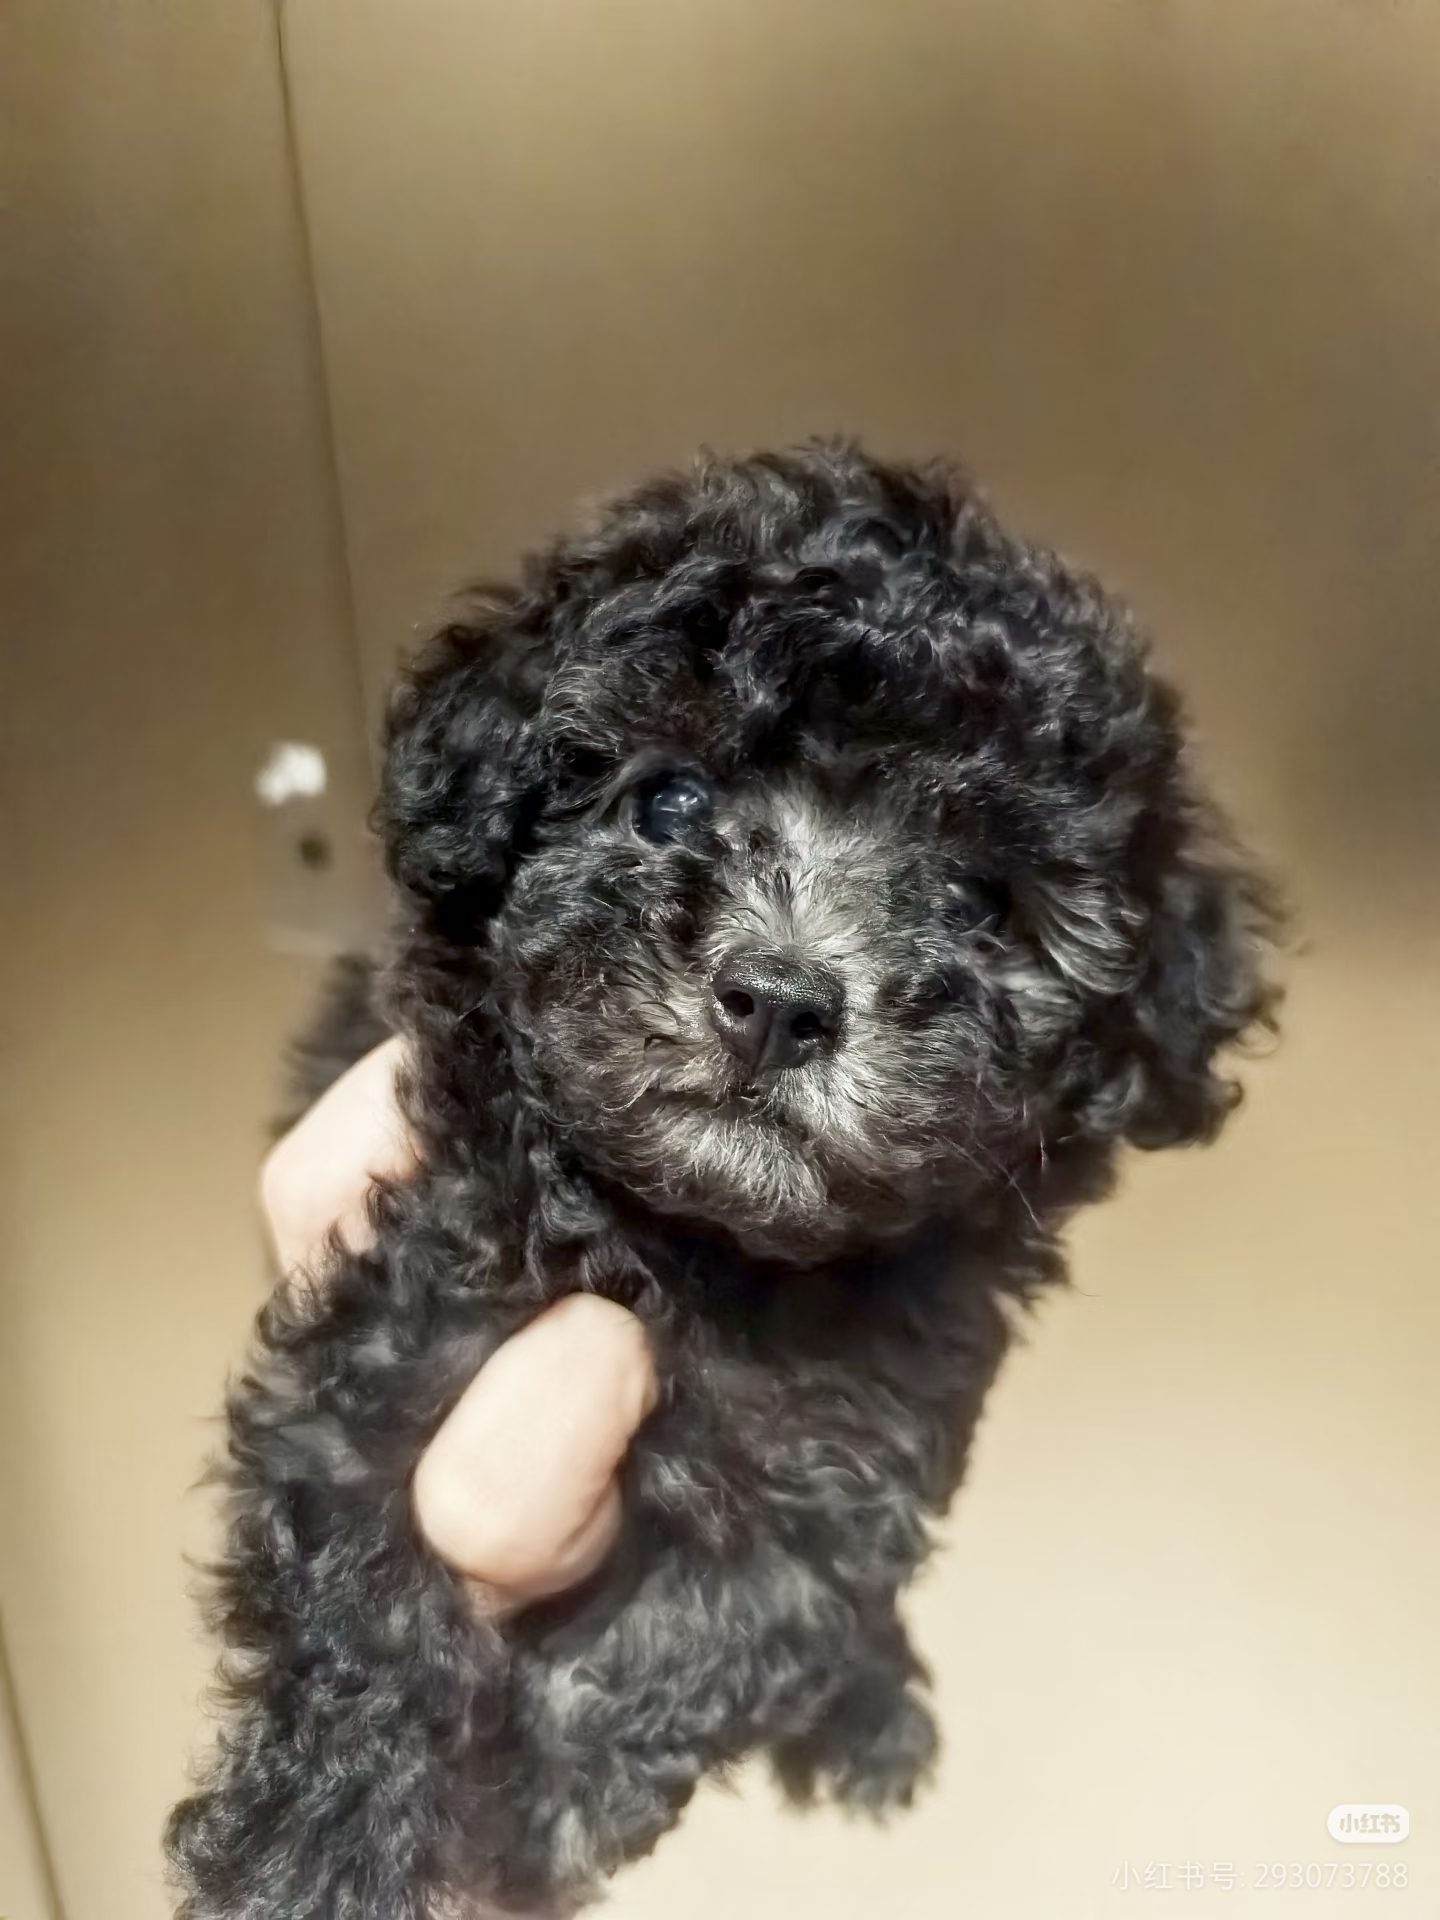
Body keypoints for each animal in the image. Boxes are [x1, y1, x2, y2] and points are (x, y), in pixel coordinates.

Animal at [167, 443, 1278, 1918]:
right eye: (669, 801)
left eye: (979, 900)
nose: (781, 1002)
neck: (702, 1250)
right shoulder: (401, 1334)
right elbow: (368, 1612)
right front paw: (321, 1854)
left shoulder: (848, 1456)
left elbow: (726, 1625)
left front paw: (551, 1800)